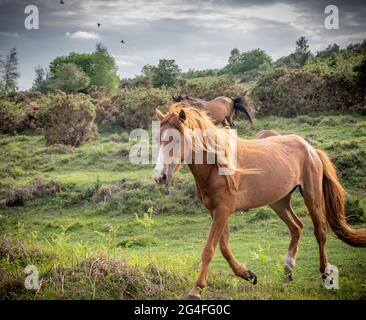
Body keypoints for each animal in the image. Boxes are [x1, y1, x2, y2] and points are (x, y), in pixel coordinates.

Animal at [152, 104, 366, 298]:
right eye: (158, 139)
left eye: (177, 139)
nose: (159, 177)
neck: (216, 166)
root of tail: (311, 149)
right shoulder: (217, 212)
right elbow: (224, 248)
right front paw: (246, 274)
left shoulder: (223, 211)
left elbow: (209, 249)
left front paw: (196, 290)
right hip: (279, 202)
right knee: (296, 227)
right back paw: (288, 268)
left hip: (312, 197)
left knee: (319, 232)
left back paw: (325, 273)